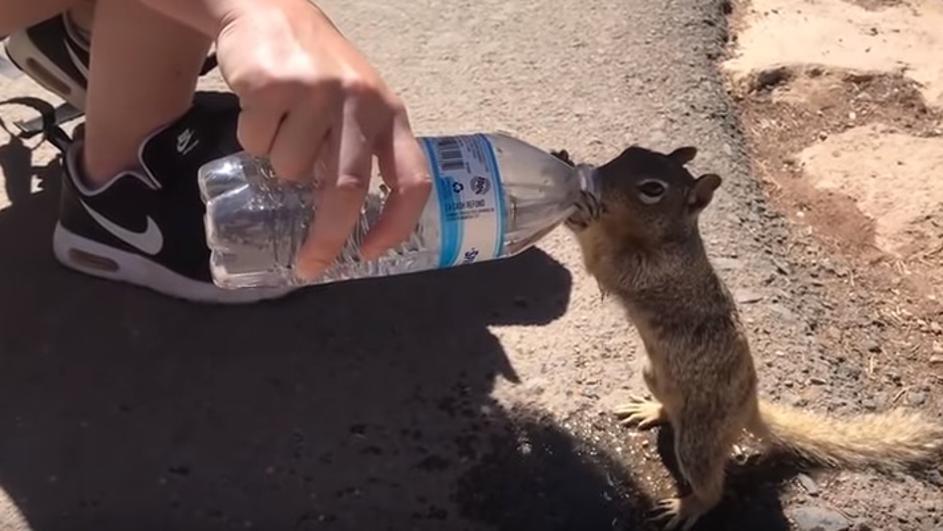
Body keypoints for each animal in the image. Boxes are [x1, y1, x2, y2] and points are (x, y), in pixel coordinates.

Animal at [548, 147, 943, 531]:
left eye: (652, 189)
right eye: (629, 151)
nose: (597, 177)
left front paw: (579, 211)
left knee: (712, 487)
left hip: (698, 440)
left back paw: (687, 505)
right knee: (670, 411)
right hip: (654, 375)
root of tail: (748, 407)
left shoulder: (649, 271)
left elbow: (601, 260)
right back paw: (651, 409)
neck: (671, 238)